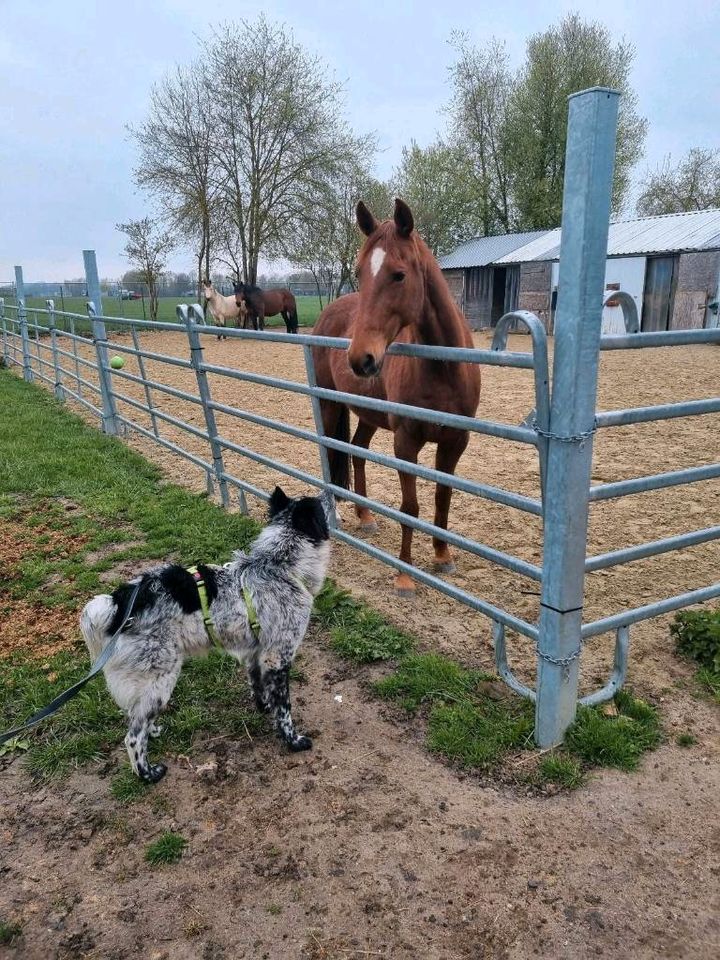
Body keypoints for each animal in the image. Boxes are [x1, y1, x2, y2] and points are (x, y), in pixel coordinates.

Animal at [82, 488, 332, 780]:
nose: (330, 493)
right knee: (133, 736)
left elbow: (259, 688)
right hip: (160, 678)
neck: (278, 566)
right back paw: (148, 774)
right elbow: (285, 709)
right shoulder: (278, 656)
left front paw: (264, 708)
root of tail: (119, 603)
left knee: (138, 718)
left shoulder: (255, 653)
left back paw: (154, 732)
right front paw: (292, 740)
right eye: (322, 507)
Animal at [312, 200, 480, 596]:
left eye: (399, 275)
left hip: (368, 414)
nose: (360, 358)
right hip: (329, 405)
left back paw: (365, 516)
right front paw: (404, 574)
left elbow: (441, 498)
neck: (443, 369)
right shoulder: (406, 441)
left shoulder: (455, 442)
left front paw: (442, 556)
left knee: (357, 451)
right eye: (360, 272)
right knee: (331, 453)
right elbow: (410, 507)